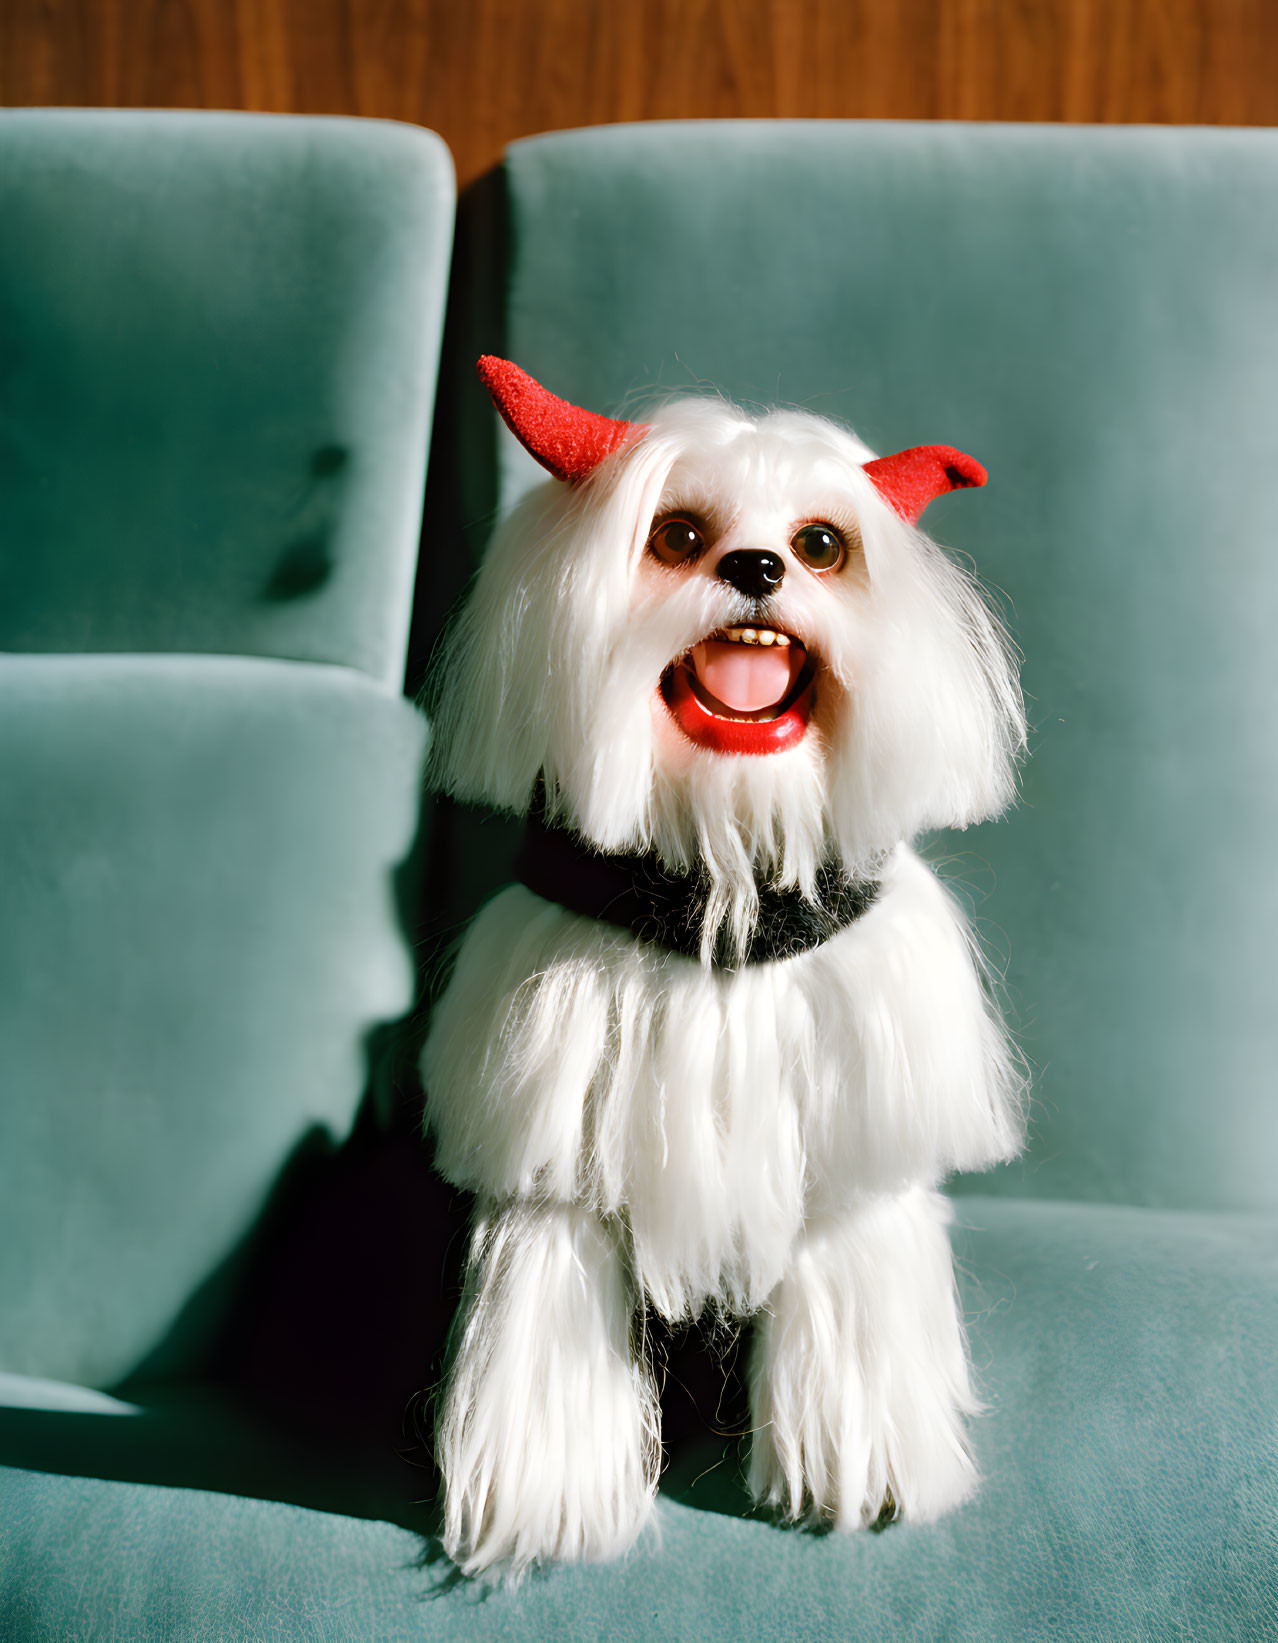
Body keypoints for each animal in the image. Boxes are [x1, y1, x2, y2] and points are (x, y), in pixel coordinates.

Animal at [423, 359, 1018, 1577]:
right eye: (679, 533)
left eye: (823, 543)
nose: (757, 567)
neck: (727, 859)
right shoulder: (555, 1161)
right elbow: (550, 1315)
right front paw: (548, 1498)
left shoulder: (853, 1140)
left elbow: (851, 1278)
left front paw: (859, 1472)